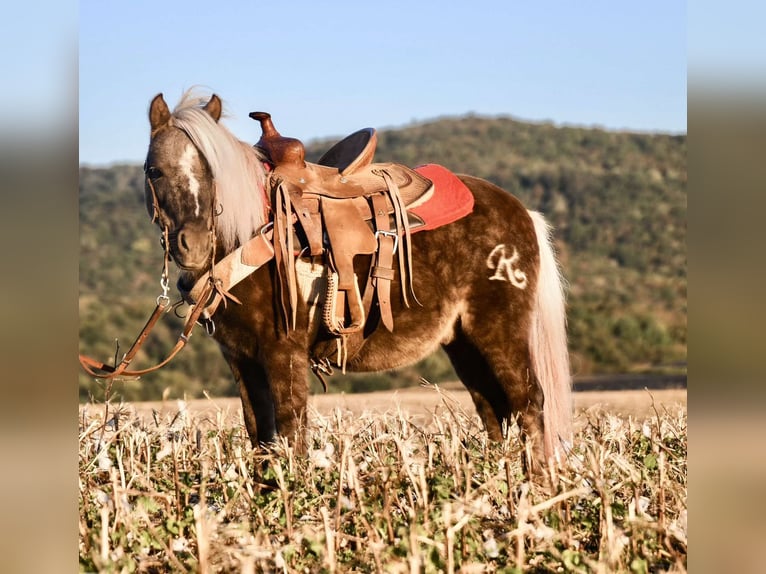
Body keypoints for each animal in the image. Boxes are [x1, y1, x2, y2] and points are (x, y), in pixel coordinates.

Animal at [140, 90, 572, 472]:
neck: (246, 234)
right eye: (154, 170)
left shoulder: (283, 353)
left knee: (528, 403)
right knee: (494, 411)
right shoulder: (242, 359)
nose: (193, 245)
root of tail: (522, 211)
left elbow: (291, 433)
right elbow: (261, 438)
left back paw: (539, 492)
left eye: (212, 171)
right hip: (463, 343)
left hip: (500, 332)